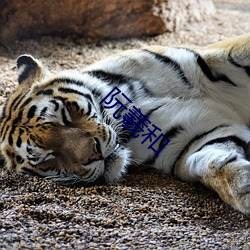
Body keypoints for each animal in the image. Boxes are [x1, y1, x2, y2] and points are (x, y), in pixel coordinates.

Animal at [0, 32, 250, 213]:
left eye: (65, 116)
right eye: (48, 157)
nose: (95, 153)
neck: (130, 106)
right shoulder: (188, 138)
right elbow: (210, 162)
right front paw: (243, 188)